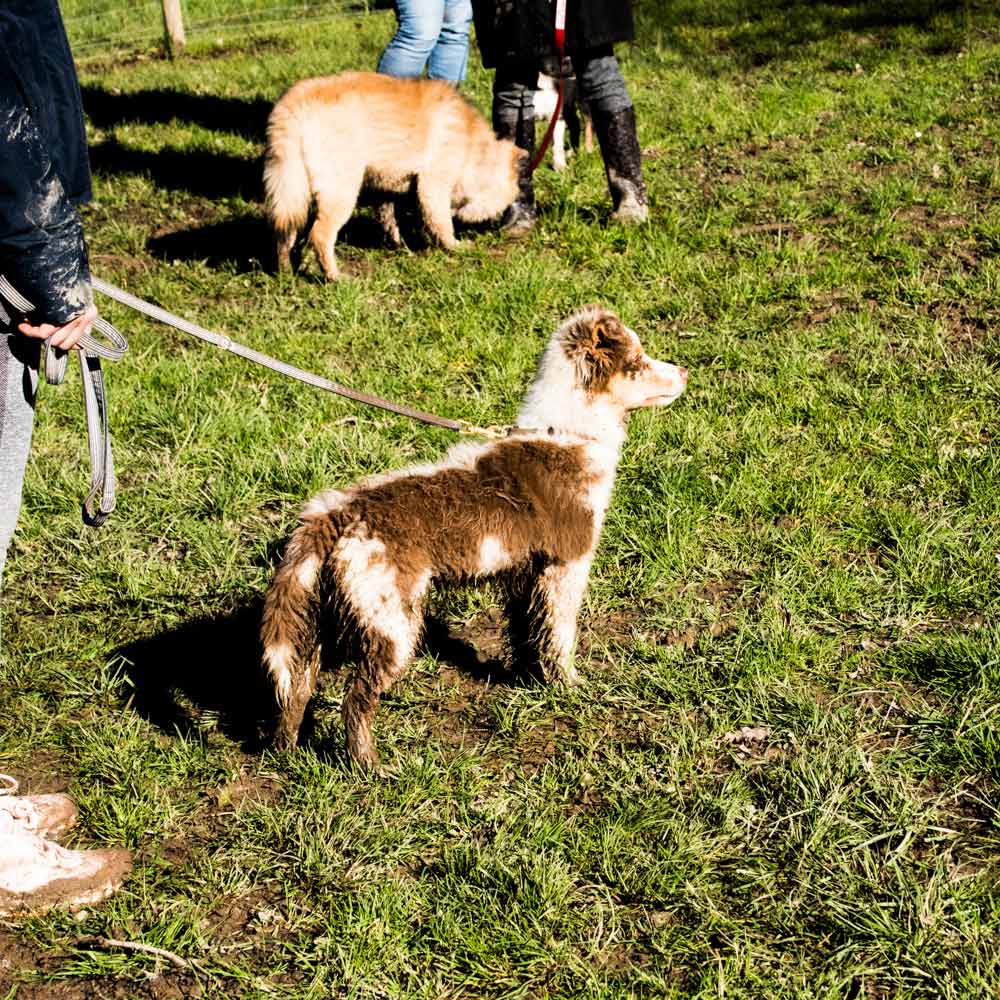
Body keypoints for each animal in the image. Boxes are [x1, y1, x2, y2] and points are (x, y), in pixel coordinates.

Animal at [262, 72, 528, 280]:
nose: (498, 224)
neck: (473, 147)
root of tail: (293, 104)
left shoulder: (389, 188)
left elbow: (391, 218)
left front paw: (399, 245)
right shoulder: (432, 185)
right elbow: (441, 222)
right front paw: (455, 246)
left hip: (293, 191)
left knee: (284, 232)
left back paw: (286, 272)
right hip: (341, 191)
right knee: (319, 235)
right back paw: (334, 276)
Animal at [262, 304, 692, 764]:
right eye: (637, 362)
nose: (685, 371)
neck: (567, 437)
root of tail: (335, 513)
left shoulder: (525, 572)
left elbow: (528, 629)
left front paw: (529, 680)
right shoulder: (566, 564)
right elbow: (560, 634)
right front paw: (570, 686)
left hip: (324, 616)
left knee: (297, 688)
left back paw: (287, 755)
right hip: (391, 621)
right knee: (356, 699)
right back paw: (371, 767)